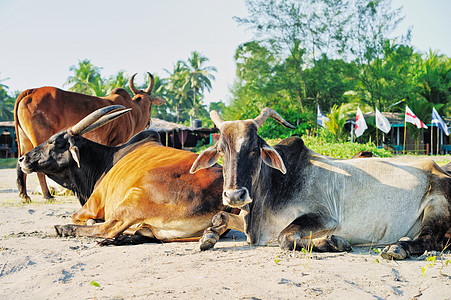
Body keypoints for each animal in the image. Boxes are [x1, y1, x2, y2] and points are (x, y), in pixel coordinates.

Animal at [13, 74, 166, 203]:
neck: (134, 110)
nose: (149, 122)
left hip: (24, 139)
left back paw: (24, 195)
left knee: (20, 163)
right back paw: (47, 195)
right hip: (38, 137)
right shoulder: (118, 141)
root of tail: (31, 91)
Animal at [191, 108, 451, 260]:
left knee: (430, 239)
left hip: (437, 204)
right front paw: (208, 237)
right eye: (221, 151)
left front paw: (334, 242)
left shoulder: (324, 217)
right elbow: (220, 217)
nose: (235, 195)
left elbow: (285, 238)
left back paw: (398, 248)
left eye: (254, 149)